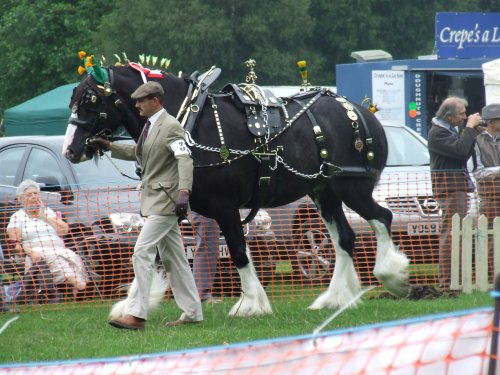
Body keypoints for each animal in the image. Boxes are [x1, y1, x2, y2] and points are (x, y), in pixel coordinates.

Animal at [62, 64, 408, 318]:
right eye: (72, 99)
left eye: (91, 101)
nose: (70, 149)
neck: (188, 120)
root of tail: (362, 112)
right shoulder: (172, 206)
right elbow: (151, 254)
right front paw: (133, 303)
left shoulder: (225, 207)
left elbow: (240, 252)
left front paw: (251, 303)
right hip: (325, 192)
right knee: (345, 239)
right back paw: (335, 298)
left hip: (352, 187)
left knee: (382, 217)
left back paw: (391, 274)